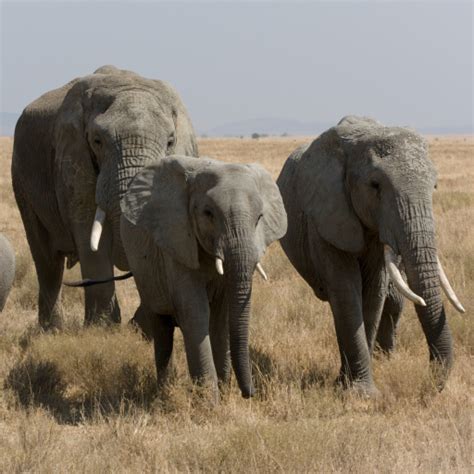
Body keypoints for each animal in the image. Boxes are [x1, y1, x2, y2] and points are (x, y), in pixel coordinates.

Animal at [11, 65, 197, 330]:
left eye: (171, 141)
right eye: (97, 141)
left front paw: (141, 327)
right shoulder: (73, 160)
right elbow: (89, 231)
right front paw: (103, 328)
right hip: (22, 179)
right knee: (47, 259)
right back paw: (52, 330)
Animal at [69, 156, 286, 400]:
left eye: (259, 218)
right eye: (208, 213)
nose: (250, 393)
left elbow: (220, 317)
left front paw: (222, 392)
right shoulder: (176, 242)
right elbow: (196, 311)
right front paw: (209, 401)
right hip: (144, 271)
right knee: (161, 327)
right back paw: (164, 390)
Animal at [278, 115, 466, 396]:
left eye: (435, 186)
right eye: (375, 186)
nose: (429, 387)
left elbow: (373, 292)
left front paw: (353, 387)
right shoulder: (325, 219)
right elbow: (348, 292)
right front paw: (360, 394)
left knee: (391, 299)